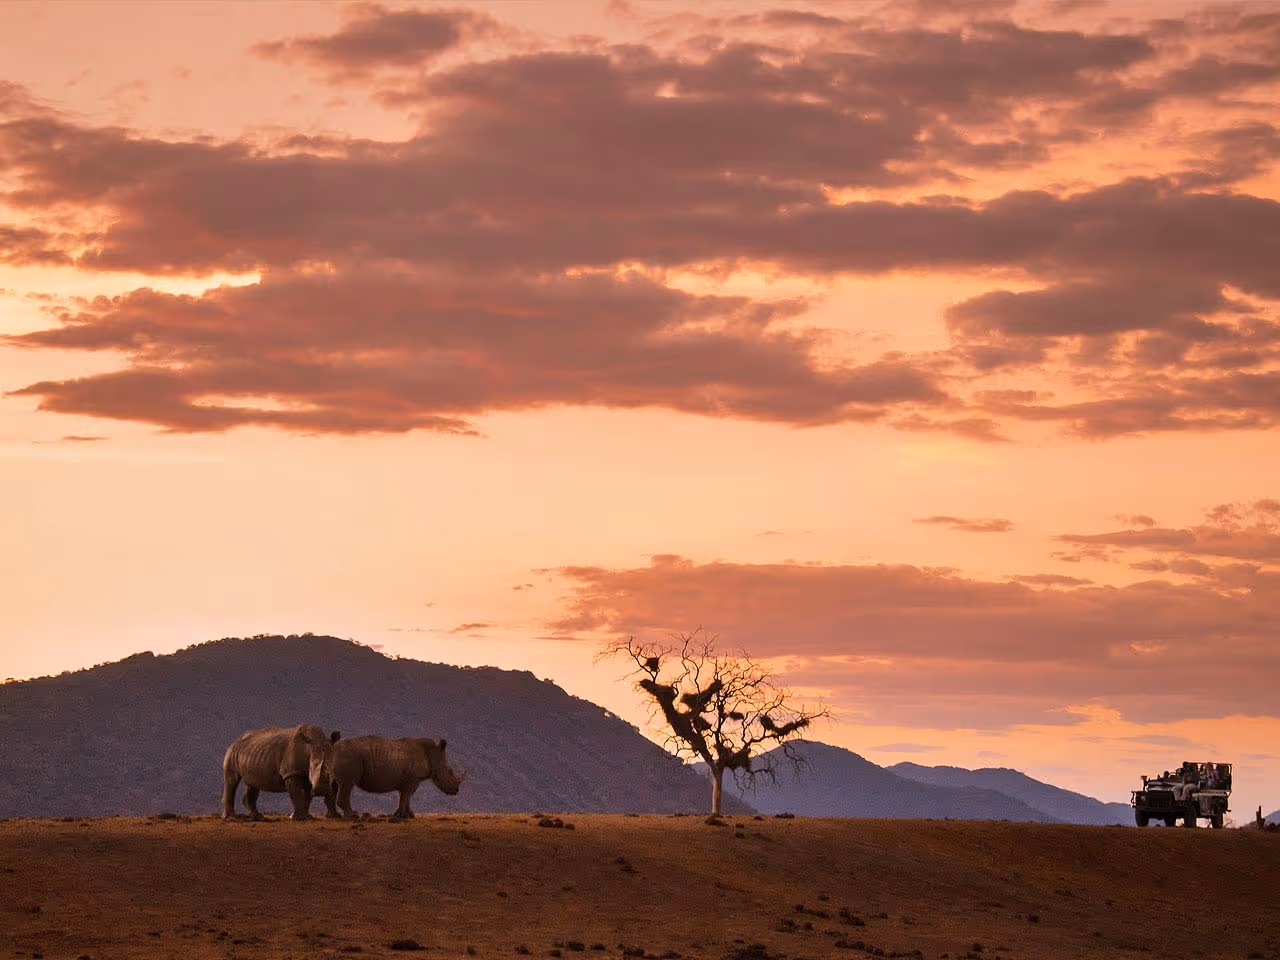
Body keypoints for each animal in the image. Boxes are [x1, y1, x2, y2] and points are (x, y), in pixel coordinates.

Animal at [329, 735, 465, 819]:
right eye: (449, 772)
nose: (456, 791)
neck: (433, 753)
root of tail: (334, 747)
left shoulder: (407, 780)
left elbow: (404, 797)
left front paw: (409, 816)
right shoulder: (412, 780)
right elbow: (406, 797)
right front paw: (400, 816)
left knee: (334, 785)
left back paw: (335, 816)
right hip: (350, 755)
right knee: (348, 784)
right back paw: (352, 816)